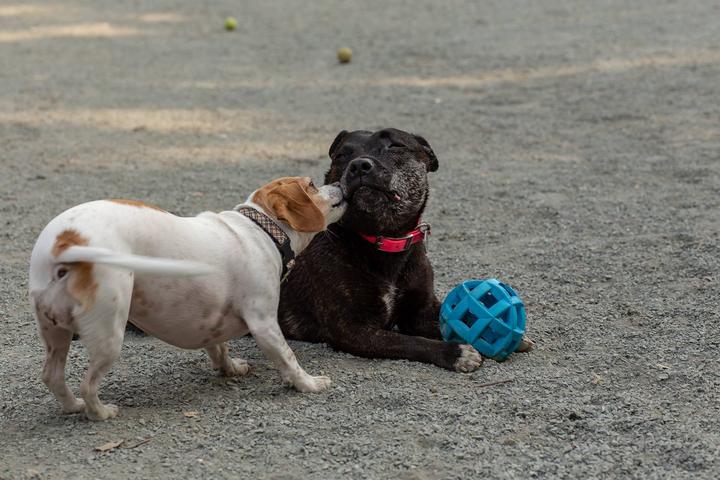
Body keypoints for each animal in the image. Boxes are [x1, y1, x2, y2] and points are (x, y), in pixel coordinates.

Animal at [31, 176, 348, 420]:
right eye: (311, 184)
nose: (339, 183)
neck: (260, 230)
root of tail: (67, 241)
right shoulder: (264, 323)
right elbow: (288, 356)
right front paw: (308, 383)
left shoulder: (213, 319)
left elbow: (219, 348)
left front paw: (230, 369)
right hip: (109, 334)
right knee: (88, 384)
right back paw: (100, 412)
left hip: (55, 333)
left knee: (52, 375)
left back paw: (73, 406)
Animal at [280, 127, 484, 372]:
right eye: (342, 155)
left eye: (395, 146)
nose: (359, 165)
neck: (385, 239)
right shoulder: (353, 330)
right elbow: (409, 342)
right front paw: (455, 352)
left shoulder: (421, 311)